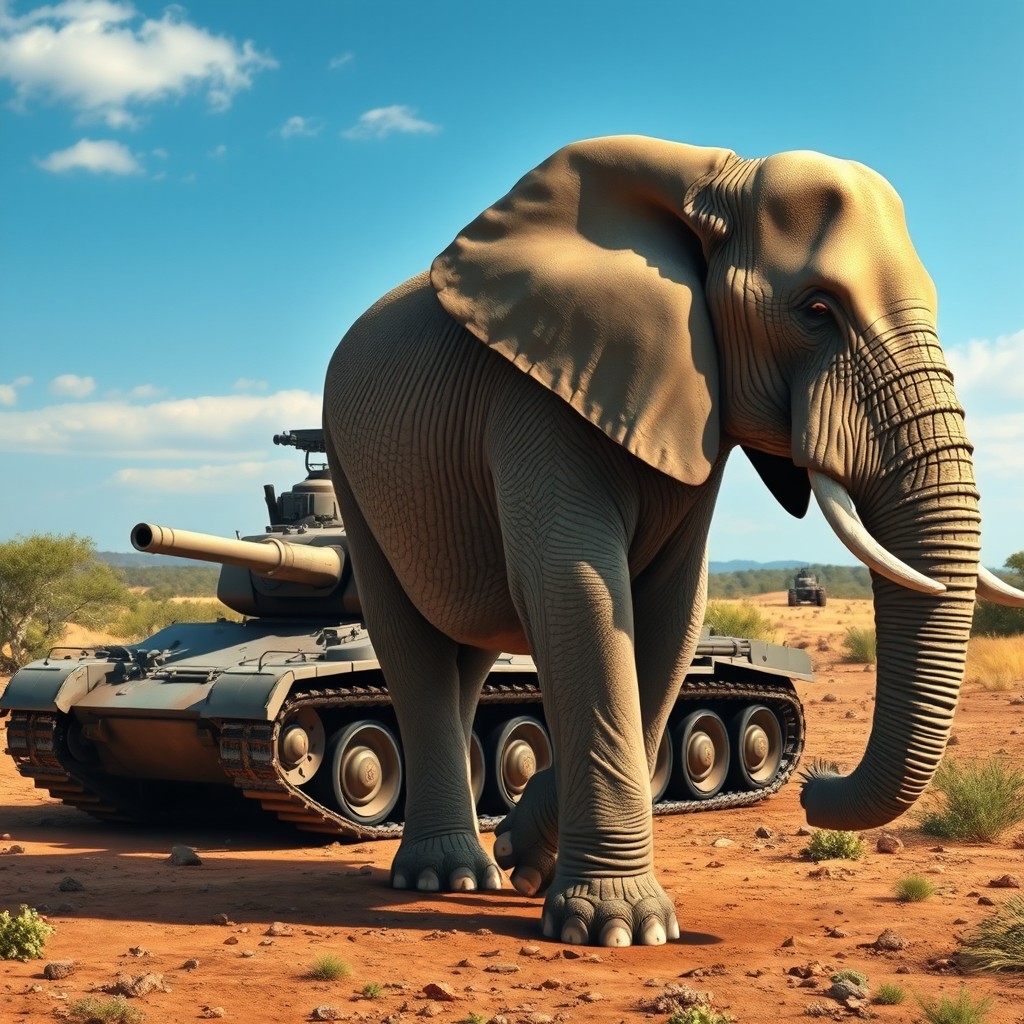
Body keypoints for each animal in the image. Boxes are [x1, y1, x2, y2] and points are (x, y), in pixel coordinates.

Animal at [323, 135, 1024, 947]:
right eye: (817, 309)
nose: (815, 787)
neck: (709, 184)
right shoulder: (533, 397)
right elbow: (581, 592)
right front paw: (620, 929)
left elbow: (669, 615)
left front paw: (532, 862)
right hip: (349, 463)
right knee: (410, 642)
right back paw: (445, 878)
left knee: (464, 655)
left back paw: (480, 871)